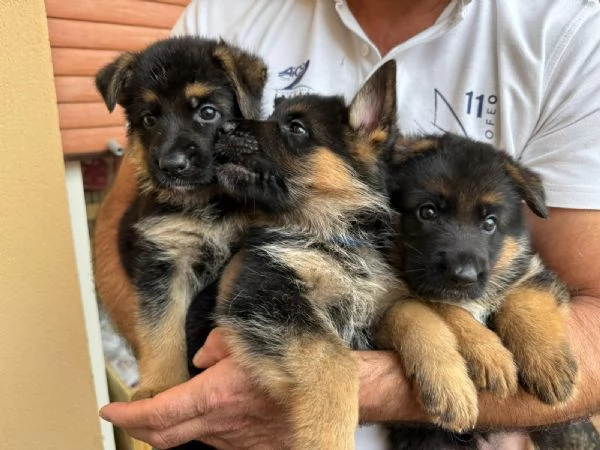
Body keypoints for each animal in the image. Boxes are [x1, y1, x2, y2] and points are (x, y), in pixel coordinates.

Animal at [94, 37, 268, 400]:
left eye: (207, 112)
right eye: (148, 119)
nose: (172, 166)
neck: (207, 203)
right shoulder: (163, 262)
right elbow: (161, 329)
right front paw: (160, 385)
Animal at [209, 61, 400, 448]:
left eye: (296, 128)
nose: (221, 128)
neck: (328, 234)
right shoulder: (266, 293)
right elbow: (334, 360)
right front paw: (326, 435)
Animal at [378, 135, 580, 438]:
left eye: (489, 223)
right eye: (427, 212)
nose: (463, 277)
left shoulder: (531, 271)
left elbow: (523, 301)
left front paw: (547, 362)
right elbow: (444, 306)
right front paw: (489, 354)